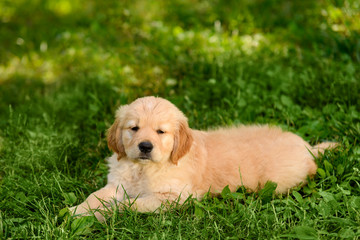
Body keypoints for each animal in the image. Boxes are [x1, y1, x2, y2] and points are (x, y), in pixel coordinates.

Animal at [69, 96, 334, 219]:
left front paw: (104, 214)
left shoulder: (175, 197)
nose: (145, 146)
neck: (143, 169)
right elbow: (96, 196)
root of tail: (308, 147)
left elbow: (130, 204)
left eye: (160, 132)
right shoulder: (117, 184)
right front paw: (76, 210)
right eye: (134, 128)